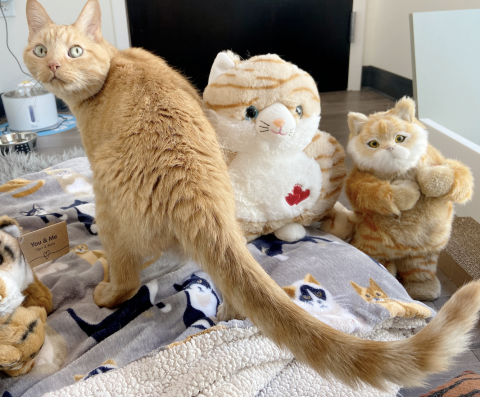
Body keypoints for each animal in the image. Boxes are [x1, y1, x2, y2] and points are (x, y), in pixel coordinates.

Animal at [23, 0, 480, 388]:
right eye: (41, 49)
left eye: (75, 51)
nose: (53, 66)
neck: (117, 61)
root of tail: (189, 181)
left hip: (110, 211)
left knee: (127, 275)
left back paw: (107, 290)